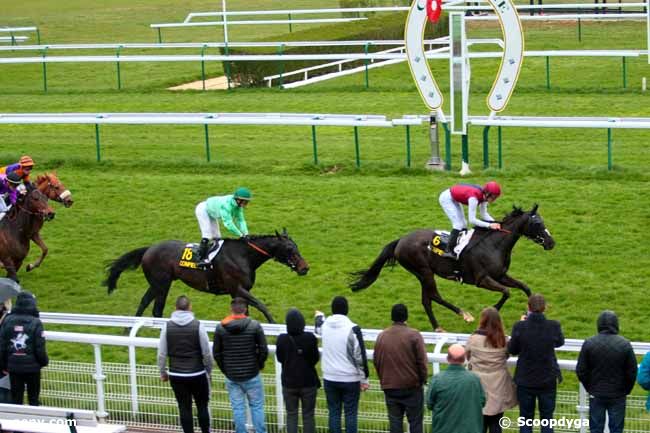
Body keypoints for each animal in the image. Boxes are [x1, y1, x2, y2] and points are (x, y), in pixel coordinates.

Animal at [103, 231, 308, 322]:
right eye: (289, 248)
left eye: (296, 246)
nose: (305, 268)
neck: (243, 256)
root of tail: (149, 249)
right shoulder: (237, 288)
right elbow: (261, 305)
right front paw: (273, 324)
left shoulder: (238, 293)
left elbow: (245, 311)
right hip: (161, 283)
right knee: (153, 307)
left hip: (159, 284)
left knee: (147, 304)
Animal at [350, 204, 552, 330]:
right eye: (537, 223)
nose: (551, 242)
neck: (493, 245)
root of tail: (401, 240)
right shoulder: (481, 279)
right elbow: (506, 292)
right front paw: (492, 310)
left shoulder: (500, 275)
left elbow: (525, 288)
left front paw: (529, 312)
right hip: (423, 271)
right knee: (434, 295)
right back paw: (464, 314)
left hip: (422, 273)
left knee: (426, 299)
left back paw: (438, 327)